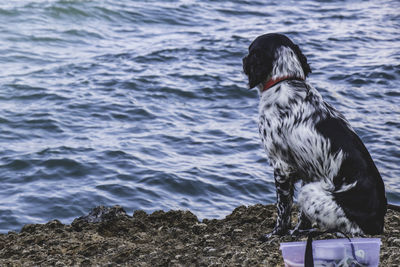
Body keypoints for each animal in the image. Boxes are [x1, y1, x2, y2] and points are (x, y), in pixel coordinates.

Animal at [242, 33, 386, 239]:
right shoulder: (307, 171)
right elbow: (302, 217)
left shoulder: (281, 166)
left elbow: (283, 210)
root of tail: (377, 222)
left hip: (310, 193)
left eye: (250, 50)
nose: (243, 59)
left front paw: (275, 234)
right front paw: (298, 231)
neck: (284, 80)